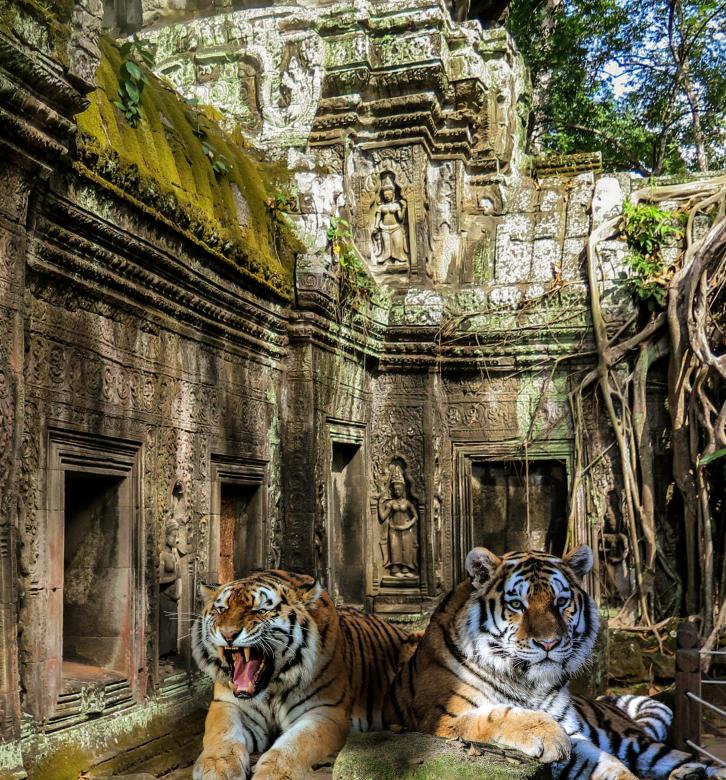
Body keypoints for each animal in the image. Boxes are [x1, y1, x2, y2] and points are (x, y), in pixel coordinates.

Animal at [191, 569, 415, 780]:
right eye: (221, 609)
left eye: (261, 611)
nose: (228, 634)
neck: (271, 687)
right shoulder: (228, 704)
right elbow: (222, 732)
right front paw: (217, 766)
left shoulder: (325, 711)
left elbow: (296, 743)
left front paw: (274, 773)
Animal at [385, 545, 726, 780]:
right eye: (516, 605)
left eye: (561, 602)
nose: (548, 643)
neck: (527, 682)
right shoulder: (440, 717)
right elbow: (495, 715)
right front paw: (543, 732)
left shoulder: (575, 733)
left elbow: (613, 767)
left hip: (635, 741)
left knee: (687, 759)